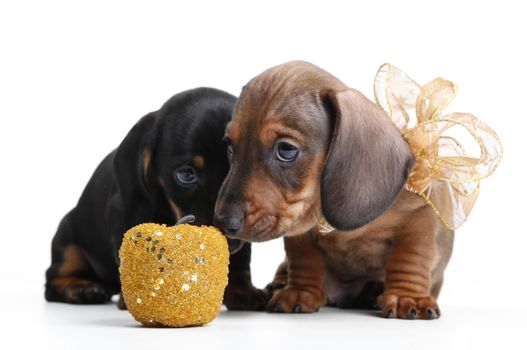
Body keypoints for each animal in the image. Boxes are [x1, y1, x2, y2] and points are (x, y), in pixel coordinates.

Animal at [45, 87, 268, 308]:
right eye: (186, 175)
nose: (228, 230)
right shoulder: (125, 210)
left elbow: (240, 262)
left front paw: (242, 292)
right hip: (66, 241)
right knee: (52, 280)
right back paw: (81, 288)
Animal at [214, 61, 454, 318]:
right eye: (230, 146)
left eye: (286, 149)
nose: (223, 222)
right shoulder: (299, 224)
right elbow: (304, 258)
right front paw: (300, 291)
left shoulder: (420, 216)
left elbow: (410, 257)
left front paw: (406, 295)